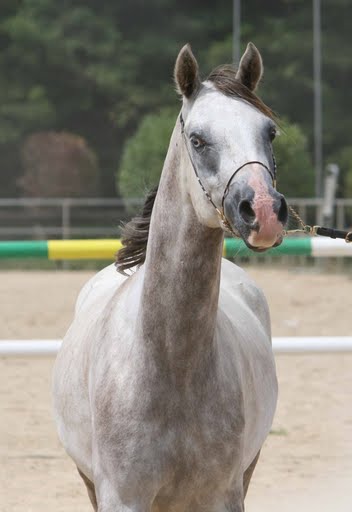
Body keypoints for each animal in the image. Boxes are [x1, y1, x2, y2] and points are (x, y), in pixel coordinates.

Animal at [53, 45, 288, 512]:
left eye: (269, 132)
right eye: (197, 139)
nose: (264, 211)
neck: (171, 363)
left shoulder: (223, 495)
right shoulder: (121, 497)